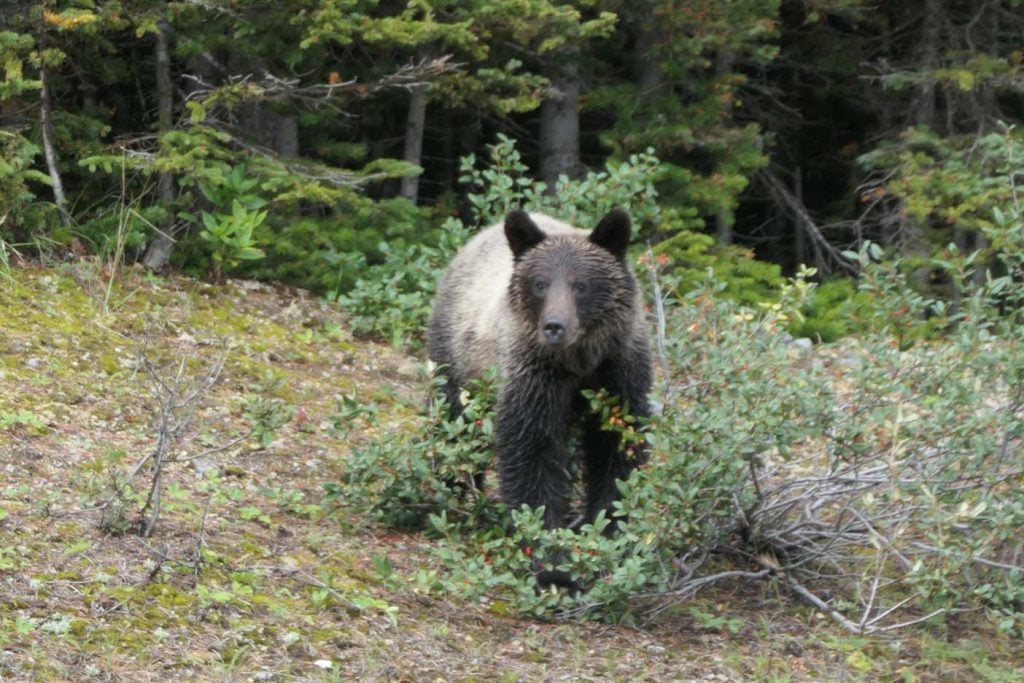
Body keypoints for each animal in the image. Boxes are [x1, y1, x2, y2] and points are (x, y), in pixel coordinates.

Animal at [428, 208, 651, 532]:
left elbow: (616, 445)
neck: (578, 360)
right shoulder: (534, 374)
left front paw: (609, 522)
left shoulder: (619, 370)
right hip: (457, 357)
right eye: (540, 283)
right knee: (452, 419)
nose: (554, 326)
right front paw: (543, 530)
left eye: (580, 285)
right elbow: (532, 449)